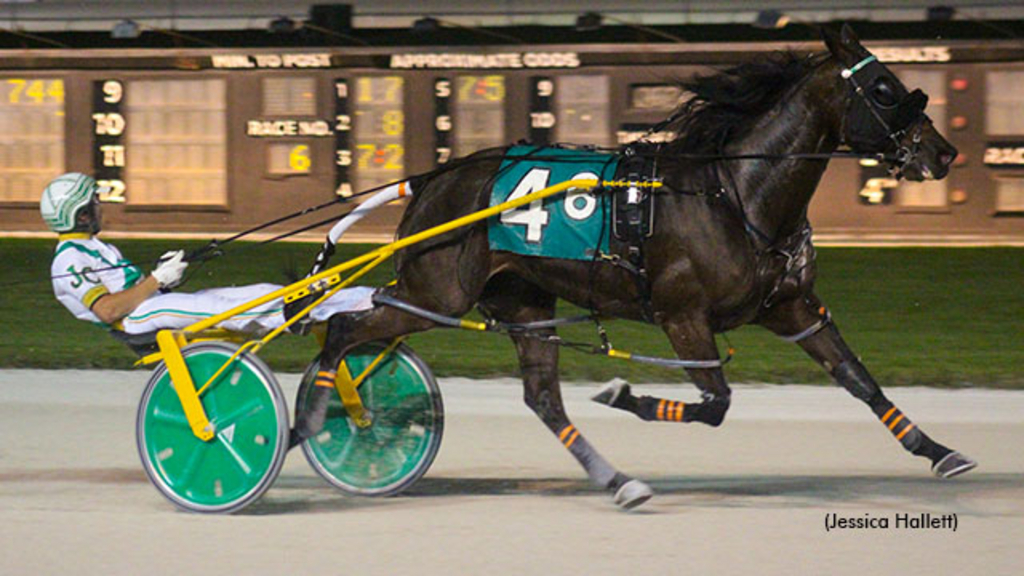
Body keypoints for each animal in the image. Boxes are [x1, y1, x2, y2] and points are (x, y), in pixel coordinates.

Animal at [294, 24, 974, 506]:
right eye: (884, 90)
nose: (943, 153)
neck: (737, 193)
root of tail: (435, 178)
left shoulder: (792, 306)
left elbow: (858, 378)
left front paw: (938, 449)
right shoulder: (683, 316)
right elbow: (716, 403)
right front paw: (623, 392)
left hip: (521, 299)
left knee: (542, 397)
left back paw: (620, 481)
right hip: (435, 295)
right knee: (345, 327)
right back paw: (316, 416)